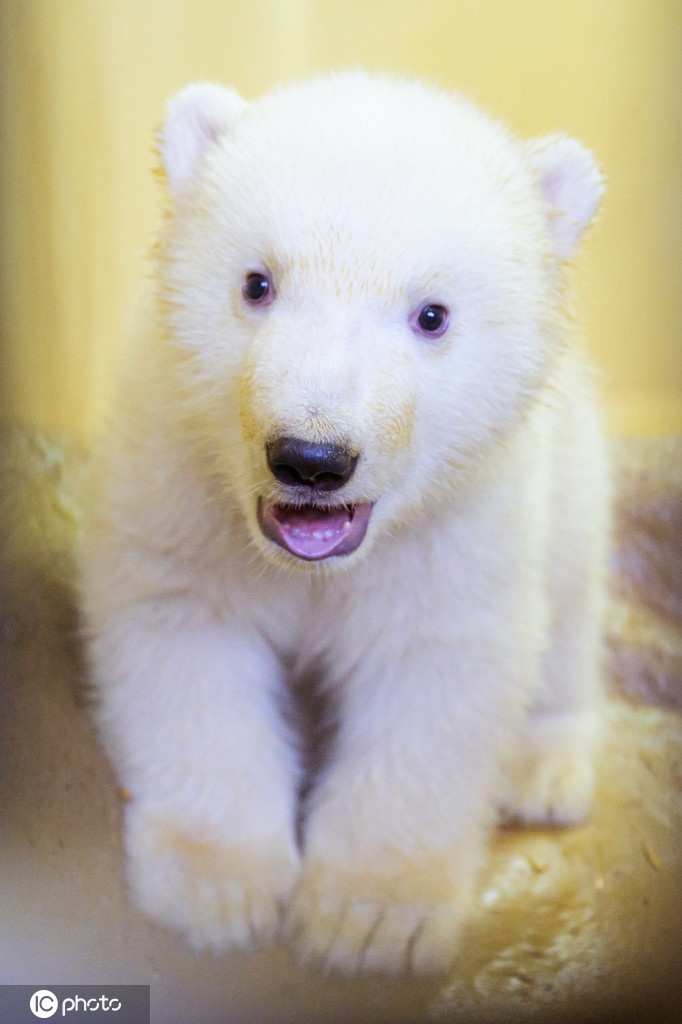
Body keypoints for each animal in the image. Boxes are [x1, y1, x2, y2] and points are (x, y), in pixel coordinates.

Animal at [79, 70, 608, 975]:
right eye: (257, 283)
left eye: (432, 314)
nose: (311, 457)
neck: (313, 566)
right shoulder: (182, 487)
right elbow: (188, 646)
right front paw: (219, 892)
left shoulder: (459, 533)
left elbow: (432, 680)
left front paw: (370, 919)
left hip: (572, 480)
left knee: (570, 618)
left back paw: (544, 773)